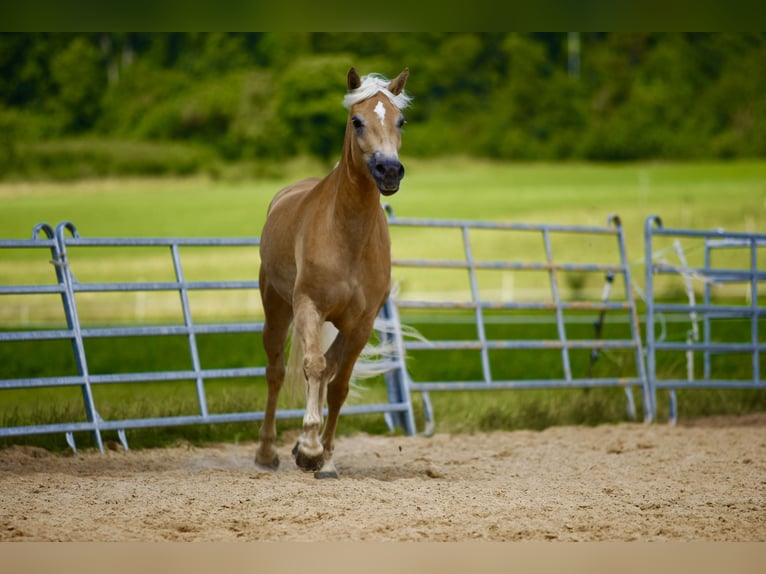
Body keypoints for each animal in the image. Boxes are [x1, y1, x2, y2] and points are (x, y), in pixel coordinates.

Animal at [254, 68, 412, 482]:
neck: (348, 235)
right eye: (357, 121)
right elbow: (312, 366)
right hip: (277, 308)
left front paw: (322, 458)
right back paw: (267, 452)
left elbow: (337, 384)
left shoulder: (361, 323)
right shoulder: (309, 307)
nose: (390, 170)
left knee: (327, 371)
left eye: (400, 121)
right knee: (276, 371)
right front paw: (310, 448)